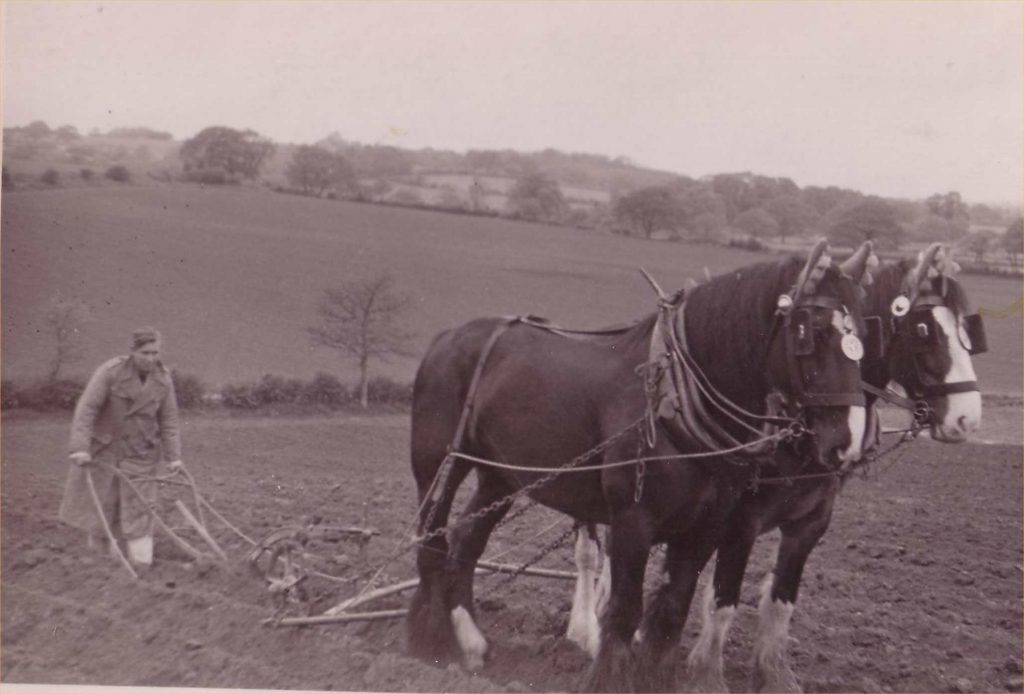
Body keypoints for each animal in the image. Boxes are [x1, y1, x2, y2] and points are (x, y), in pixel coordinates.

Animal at [407, 243, 872, 691]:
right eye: (810, 333)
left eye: (863, 339)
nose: (847, 441)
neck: (674, 396)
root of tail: (448, 336)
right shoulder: (634, 520)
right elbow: (627, 609)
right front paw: (608, 679)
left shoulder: (706, 527)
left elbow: (671, 612)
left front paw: (658, 678)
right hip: (438, 465)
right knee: (432, 539)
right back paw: (430, 640)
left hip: (499, 476)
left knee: (467, 541)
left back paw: (470, 641)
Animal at [679, 243, 983, 691]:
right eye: (923, 329)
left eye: (967, 331)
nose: (968, 418)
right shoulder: (739, 523)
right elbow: (724, 601)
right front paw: (705, 674)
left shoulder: (811, 523)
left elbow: (781, 600)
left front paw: (774, 674)